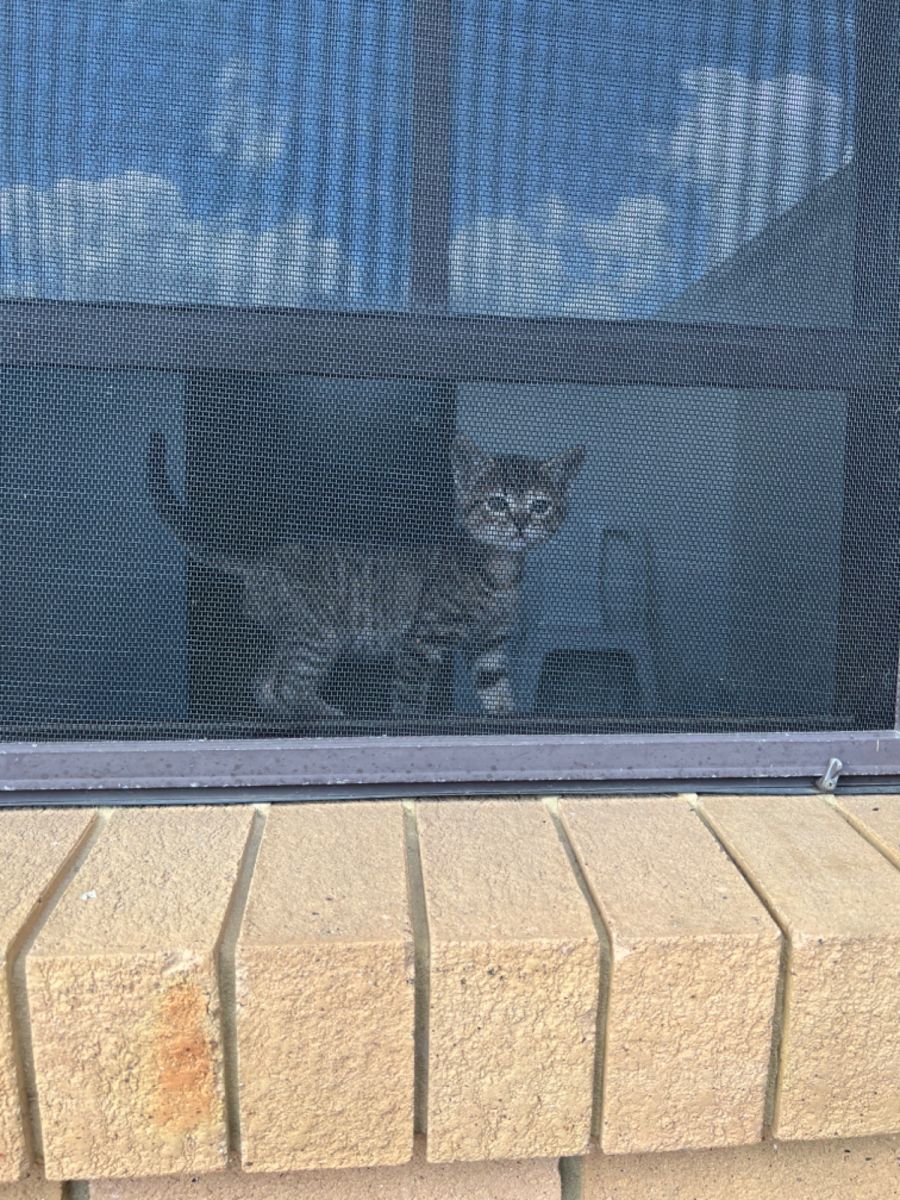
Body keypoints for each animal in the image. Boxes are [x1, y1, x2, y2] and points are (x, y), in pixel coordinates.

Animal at [147, 431, 584, 718]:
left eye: (540, 506)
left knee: (265, 684)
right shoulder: (420, 641)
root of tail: (259, 561)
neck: (500, 571)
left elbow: (496, 689)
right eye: (496, 502)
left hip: (295, 636)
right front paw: (411, 725)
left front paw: (507, 717)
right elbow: (408, 701)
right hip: (318, 635)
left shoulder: (490, 644)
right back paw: (323, 714)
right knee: (288, 685)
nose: (520, 525)